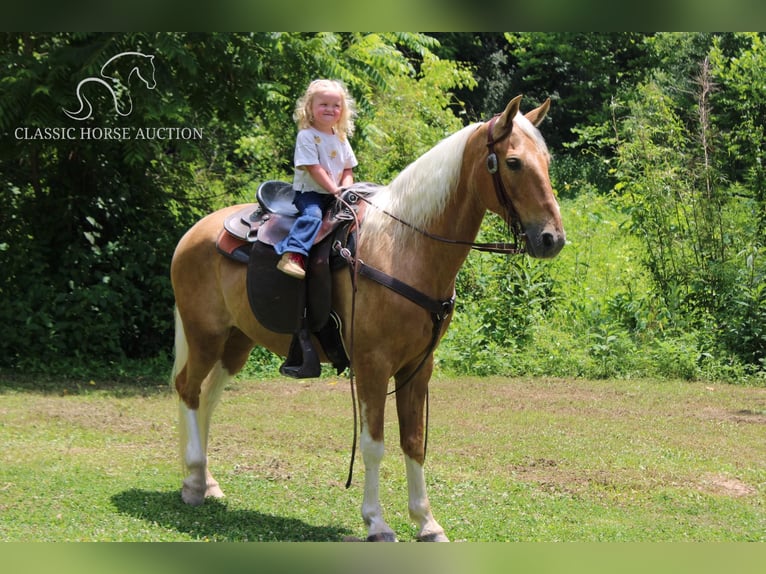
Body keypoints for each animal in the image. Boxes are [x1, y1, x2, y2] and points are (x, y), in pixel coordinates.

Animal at [171, 95, 568, 544]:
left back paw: (208, 481)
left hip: (236, 341)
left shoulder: (418, 368)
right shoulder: (373, 366)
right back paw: (192, 483)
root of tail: (195, 232)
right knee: (188, 389)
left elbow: (413, 440)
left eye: (546, 161)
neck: (405, 248)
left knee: (207, 397)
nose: (553, 239)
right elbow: (374, 443)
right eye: (514, 162)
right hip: (205, 335)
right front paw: (377, 522)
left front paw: (426, 522)